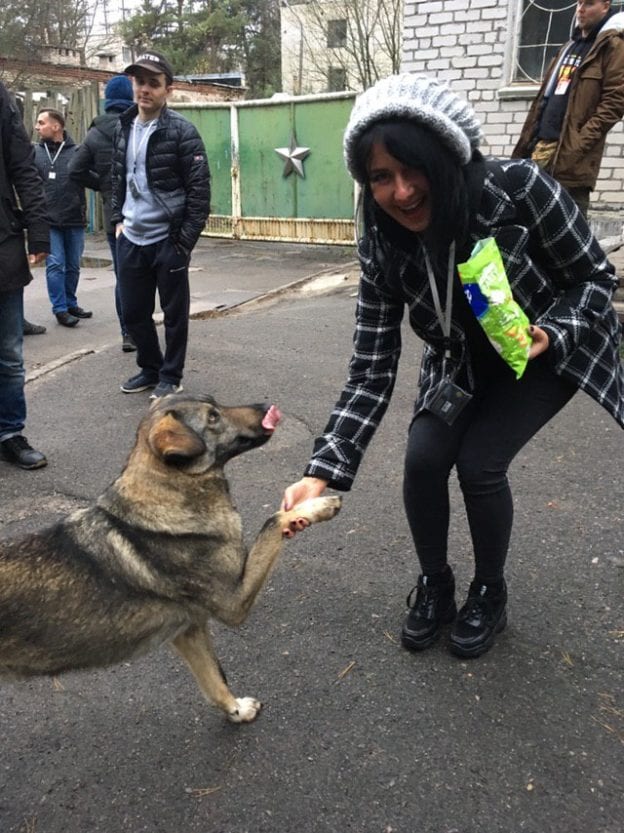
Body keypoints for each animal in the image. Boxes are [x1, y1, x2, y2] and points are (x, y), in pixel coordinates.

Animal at [0, 394, 342, 720]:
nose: (267, 406)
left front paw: (236, 710)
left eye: (215, 403)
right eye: (212, 417)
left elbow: (215, 681)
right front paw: (316, 507)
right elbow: (272, 522)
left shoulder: (188, 630)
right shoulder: (234, 603)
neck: (172, 489)